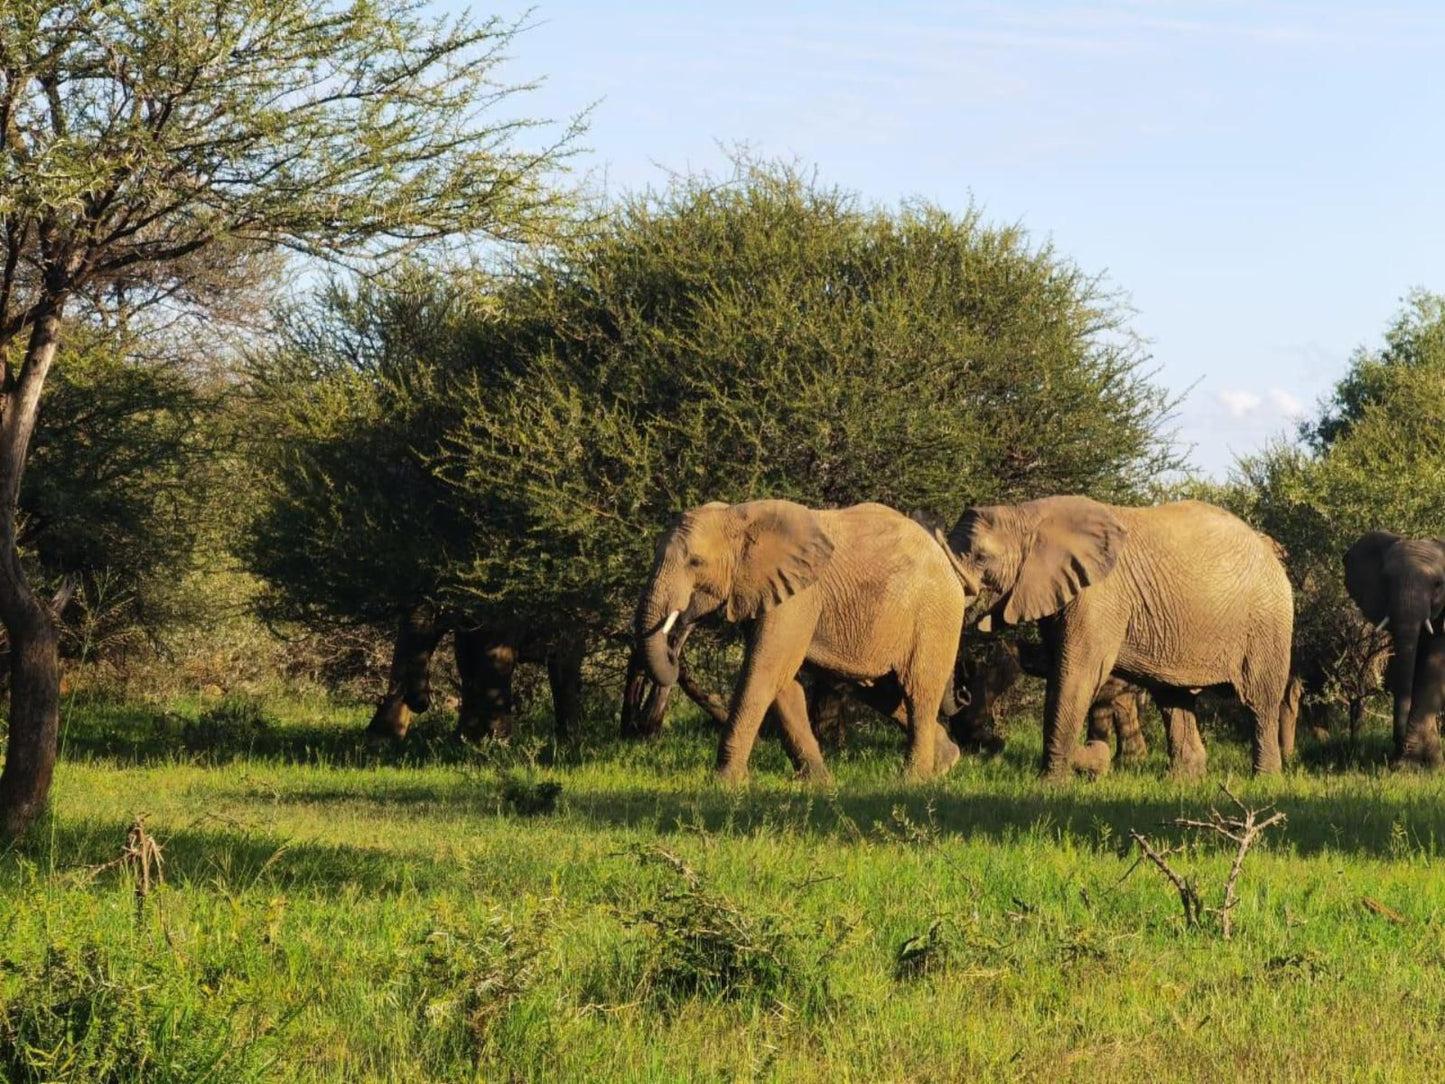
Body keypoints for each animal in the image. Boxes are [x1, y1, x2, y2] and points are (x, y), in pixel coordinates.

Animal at [364, 604, 583, 745]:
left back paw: (567, 740)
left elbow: (494, 659)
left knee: (565, 670)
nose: (420, 702)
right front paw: (465, 741)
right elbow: (465, 661)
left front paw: (496, 744)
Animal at [635, 497, 965, 786]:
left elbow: (764, 672)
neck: (738, 516)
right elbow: (783, 683)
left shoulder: (798, 597)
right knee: (880, 691)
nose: (674, 652)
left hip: (935, 616)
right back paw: (947, 762)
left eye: (695, 562)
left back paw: (914, 779)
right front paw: (818, 783)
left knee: (918, 692)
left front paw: (725, 782)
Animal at [942, 500, 1294, 780]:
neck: (1027, 514)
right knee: (1173, 698)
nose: (961, 697)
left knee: (1260, 701)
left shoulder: (1098, 596)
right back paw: (1182, 781)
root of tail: (1268, 547)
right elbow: (1049, 662)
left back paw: (1264, 779)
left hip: (1267, 621)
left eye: (981, 557)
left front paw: (1052, 782)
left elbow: (1075, 675)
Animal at [1335, 531, 1445, 768]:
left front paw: (1413, 765)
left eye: (1438, 584)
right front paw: (1417, 763)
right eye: (1385, 581)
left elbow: (1433, 667)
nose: (1395, 753)